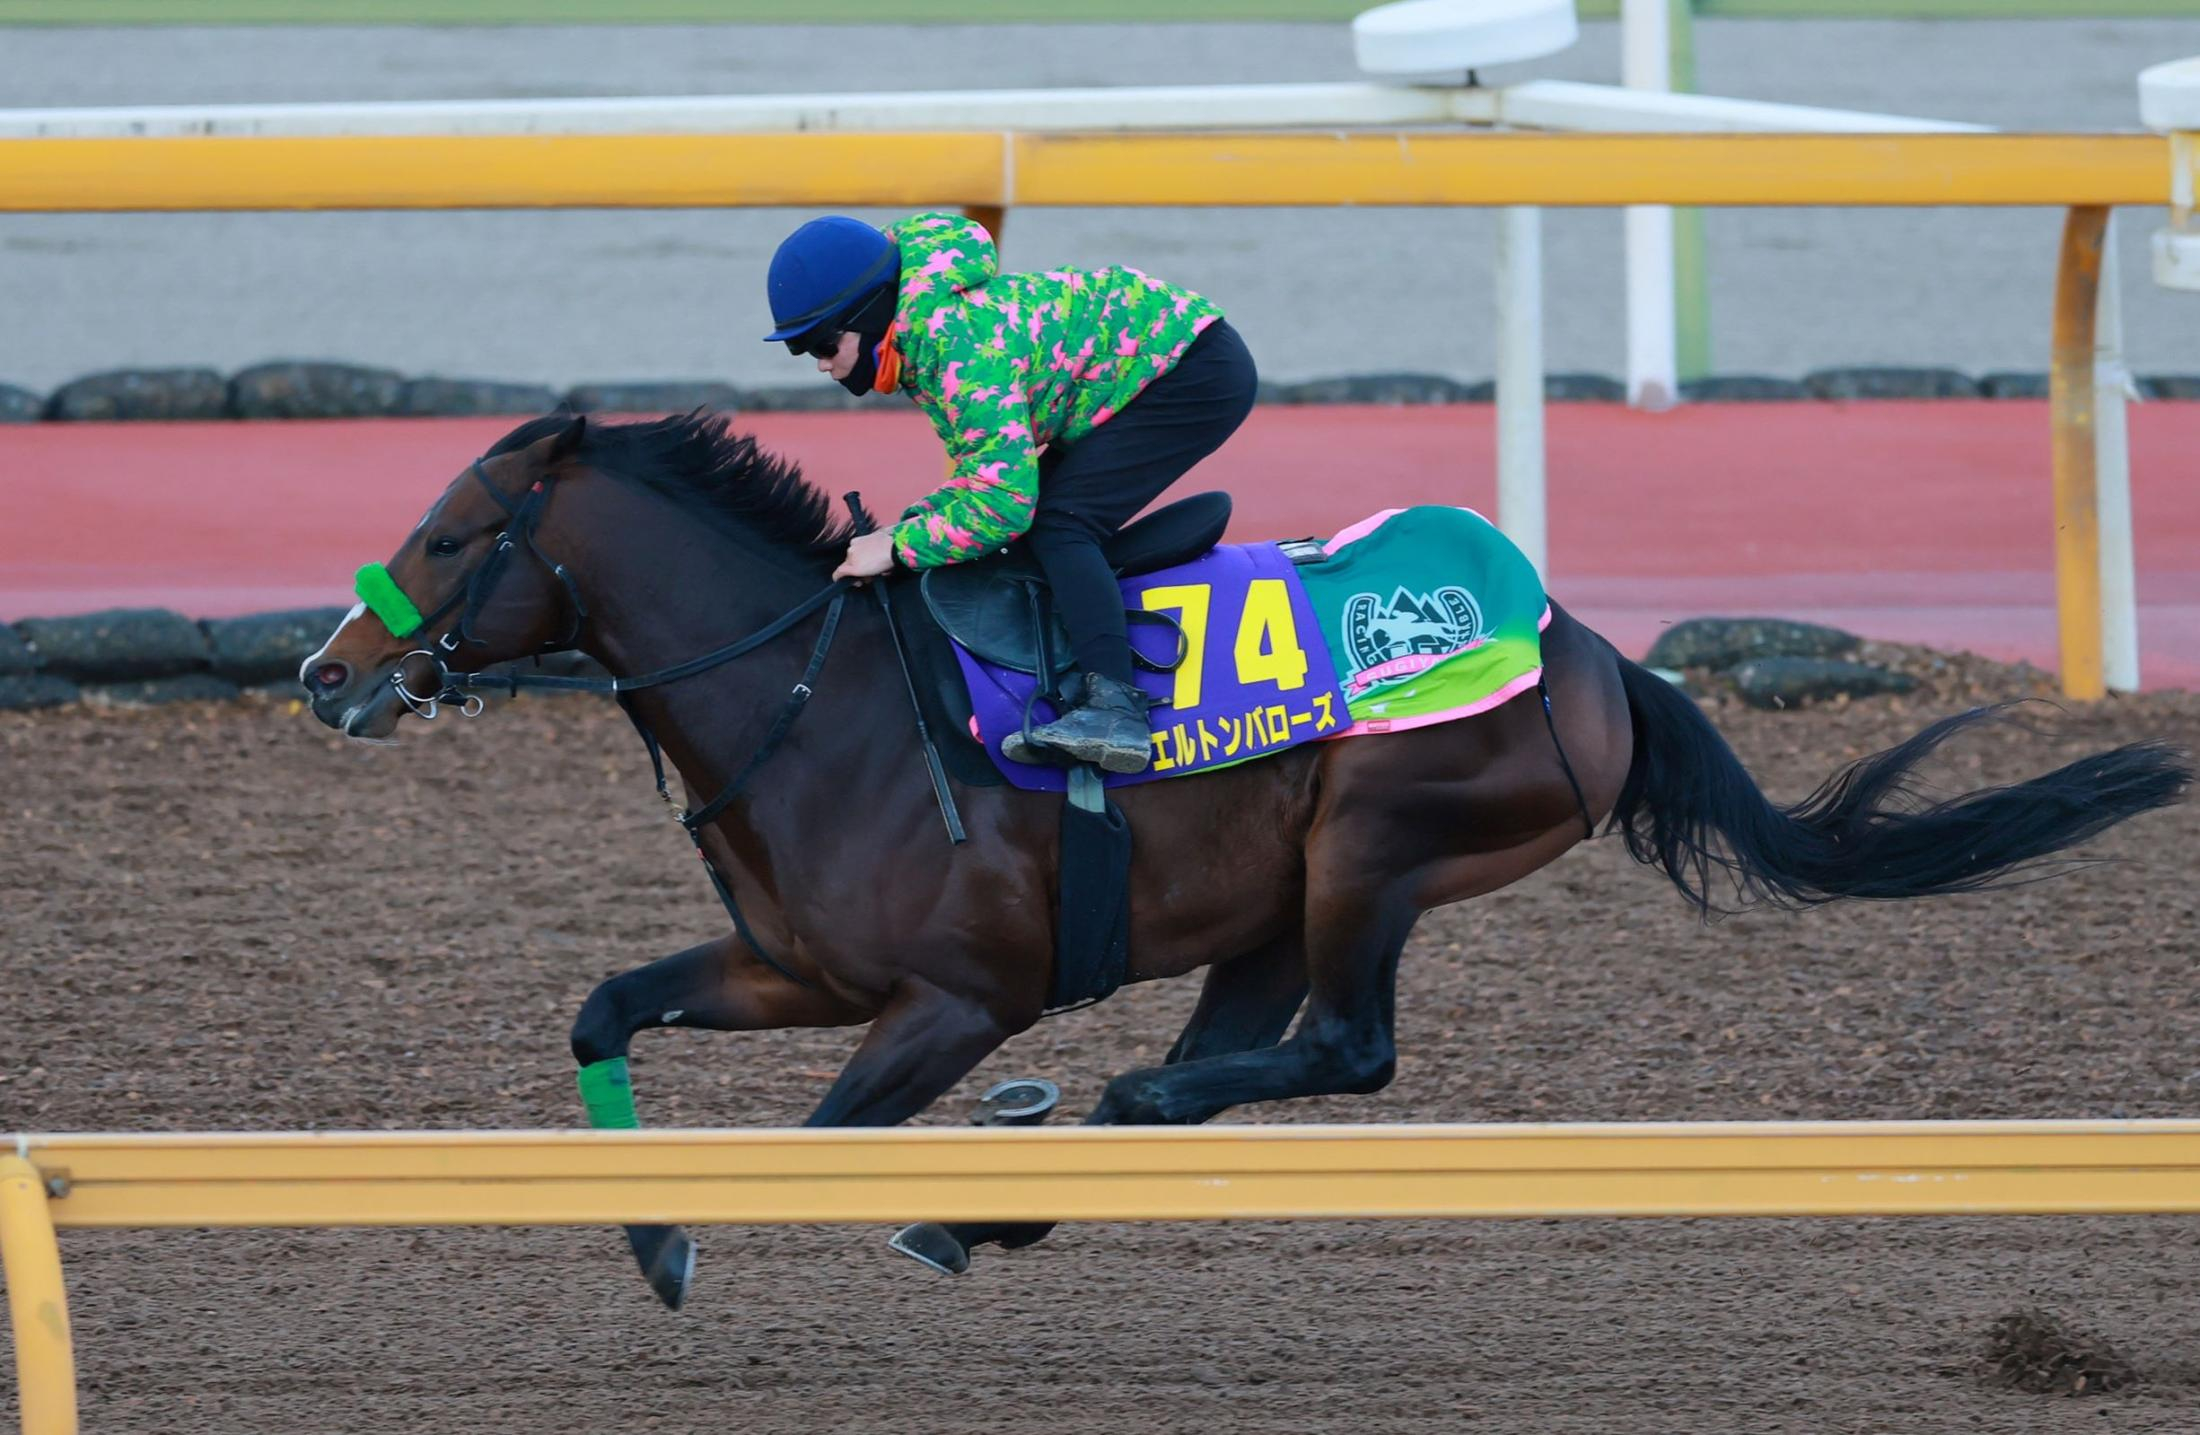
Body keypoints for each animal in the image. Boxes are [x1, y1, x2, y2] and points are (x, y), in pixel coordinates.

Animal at [300, 410, 2190, 1308]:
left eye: (451, 537)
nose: (326, 671)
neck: (814, 696)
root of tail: (1588, 650)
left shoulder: (955, 999)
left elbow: (819, 1140)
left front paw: (703, 1238)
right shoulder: (800, 969)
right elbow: (603, 1007)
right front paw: (653, 1241)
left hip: (1376, 839)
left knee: (1347, 1050)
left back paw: (1084, 1124)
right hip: (1270, 901)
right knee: (1257, 1051)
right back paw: (1017, 1189)